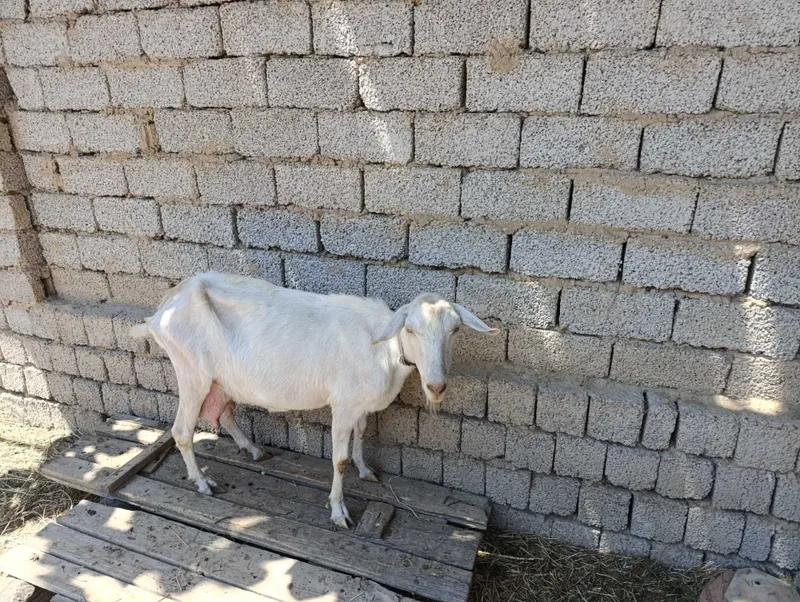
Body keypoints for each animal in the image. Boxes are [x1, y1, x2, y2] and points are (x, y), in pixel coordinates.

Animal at [130, 272, 497, 528]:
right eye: (410, 330)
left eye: (455, 330)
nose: (436, 386)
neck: (384, 348)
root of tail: (161, 310)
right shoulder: (343, 404)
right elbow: (339, 459)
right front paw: (338, 512)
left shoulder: (358, 403)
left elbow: (361, 435)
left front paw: (366, 470)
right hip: (192, 372)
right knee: (181, 431)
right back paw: (203, 483)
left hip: (220, 378)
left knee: (225, 412)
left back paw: (253, 450)